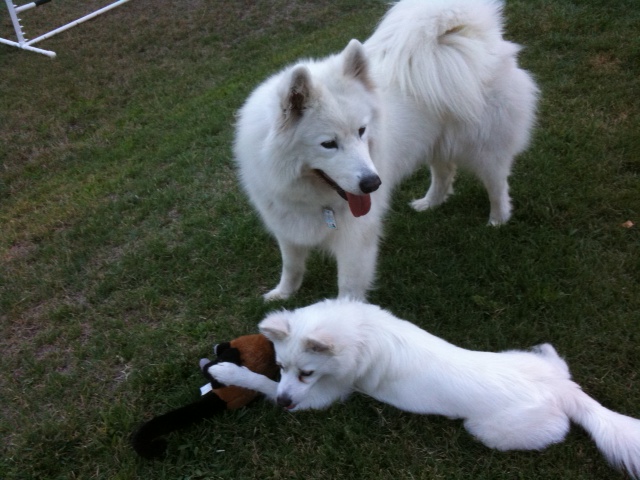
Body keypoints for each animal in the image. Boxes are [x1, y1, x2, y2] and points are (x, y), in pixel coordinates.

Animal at [210, 300, 640, 476]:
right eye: (285, 366)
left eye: (307, 373)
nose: (285, 405)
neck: (360, 333)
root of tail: (565, 391)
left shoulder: (320, 398)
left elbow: (262, 384)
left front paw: (230, 372)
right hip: (543, 358)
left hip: (488, 430)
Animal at [235, 0, 540, 300]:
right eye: (328, 144)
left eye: (362, 131)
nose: (373, 184)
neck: (311, 196)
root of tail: (467, 34)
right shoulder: (286, 227)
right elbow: (291, 265)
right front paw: (282, 294)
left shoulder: (355, 239)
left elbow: (348, 286)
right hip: (434, 142)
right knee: (444, 172)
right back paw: (430, 202)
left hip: (484, 148)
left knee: (496, 183)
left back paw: (498, 219)